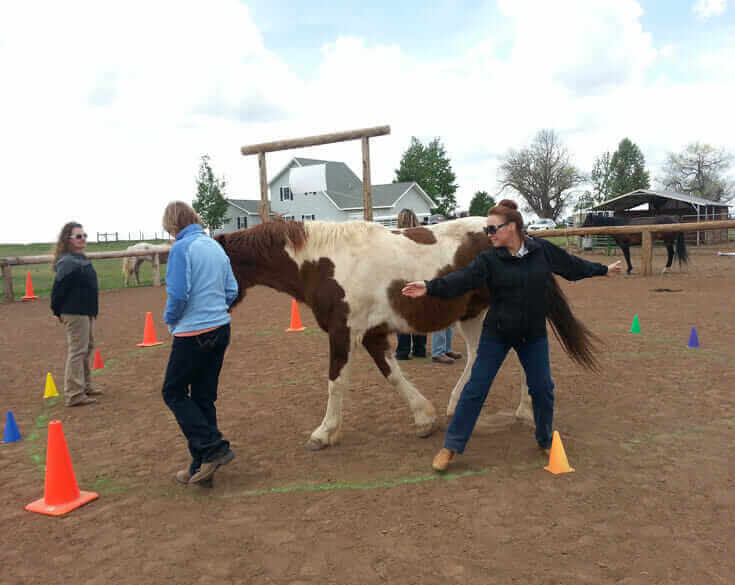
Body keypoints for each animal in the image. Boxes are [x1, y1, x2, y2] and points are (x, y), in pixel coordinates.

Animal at [215, 218, 598, 451]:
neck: (323, 262)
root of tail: (523, 242)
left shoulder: (343, 333)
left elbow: (336, 382)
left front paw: (323, 433)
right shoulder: (372, 335)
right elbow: (394, 375)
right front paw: (424, 418)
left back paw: (524, 411)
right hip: (474, 315)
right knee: (480, 357)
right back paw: (461, 404)